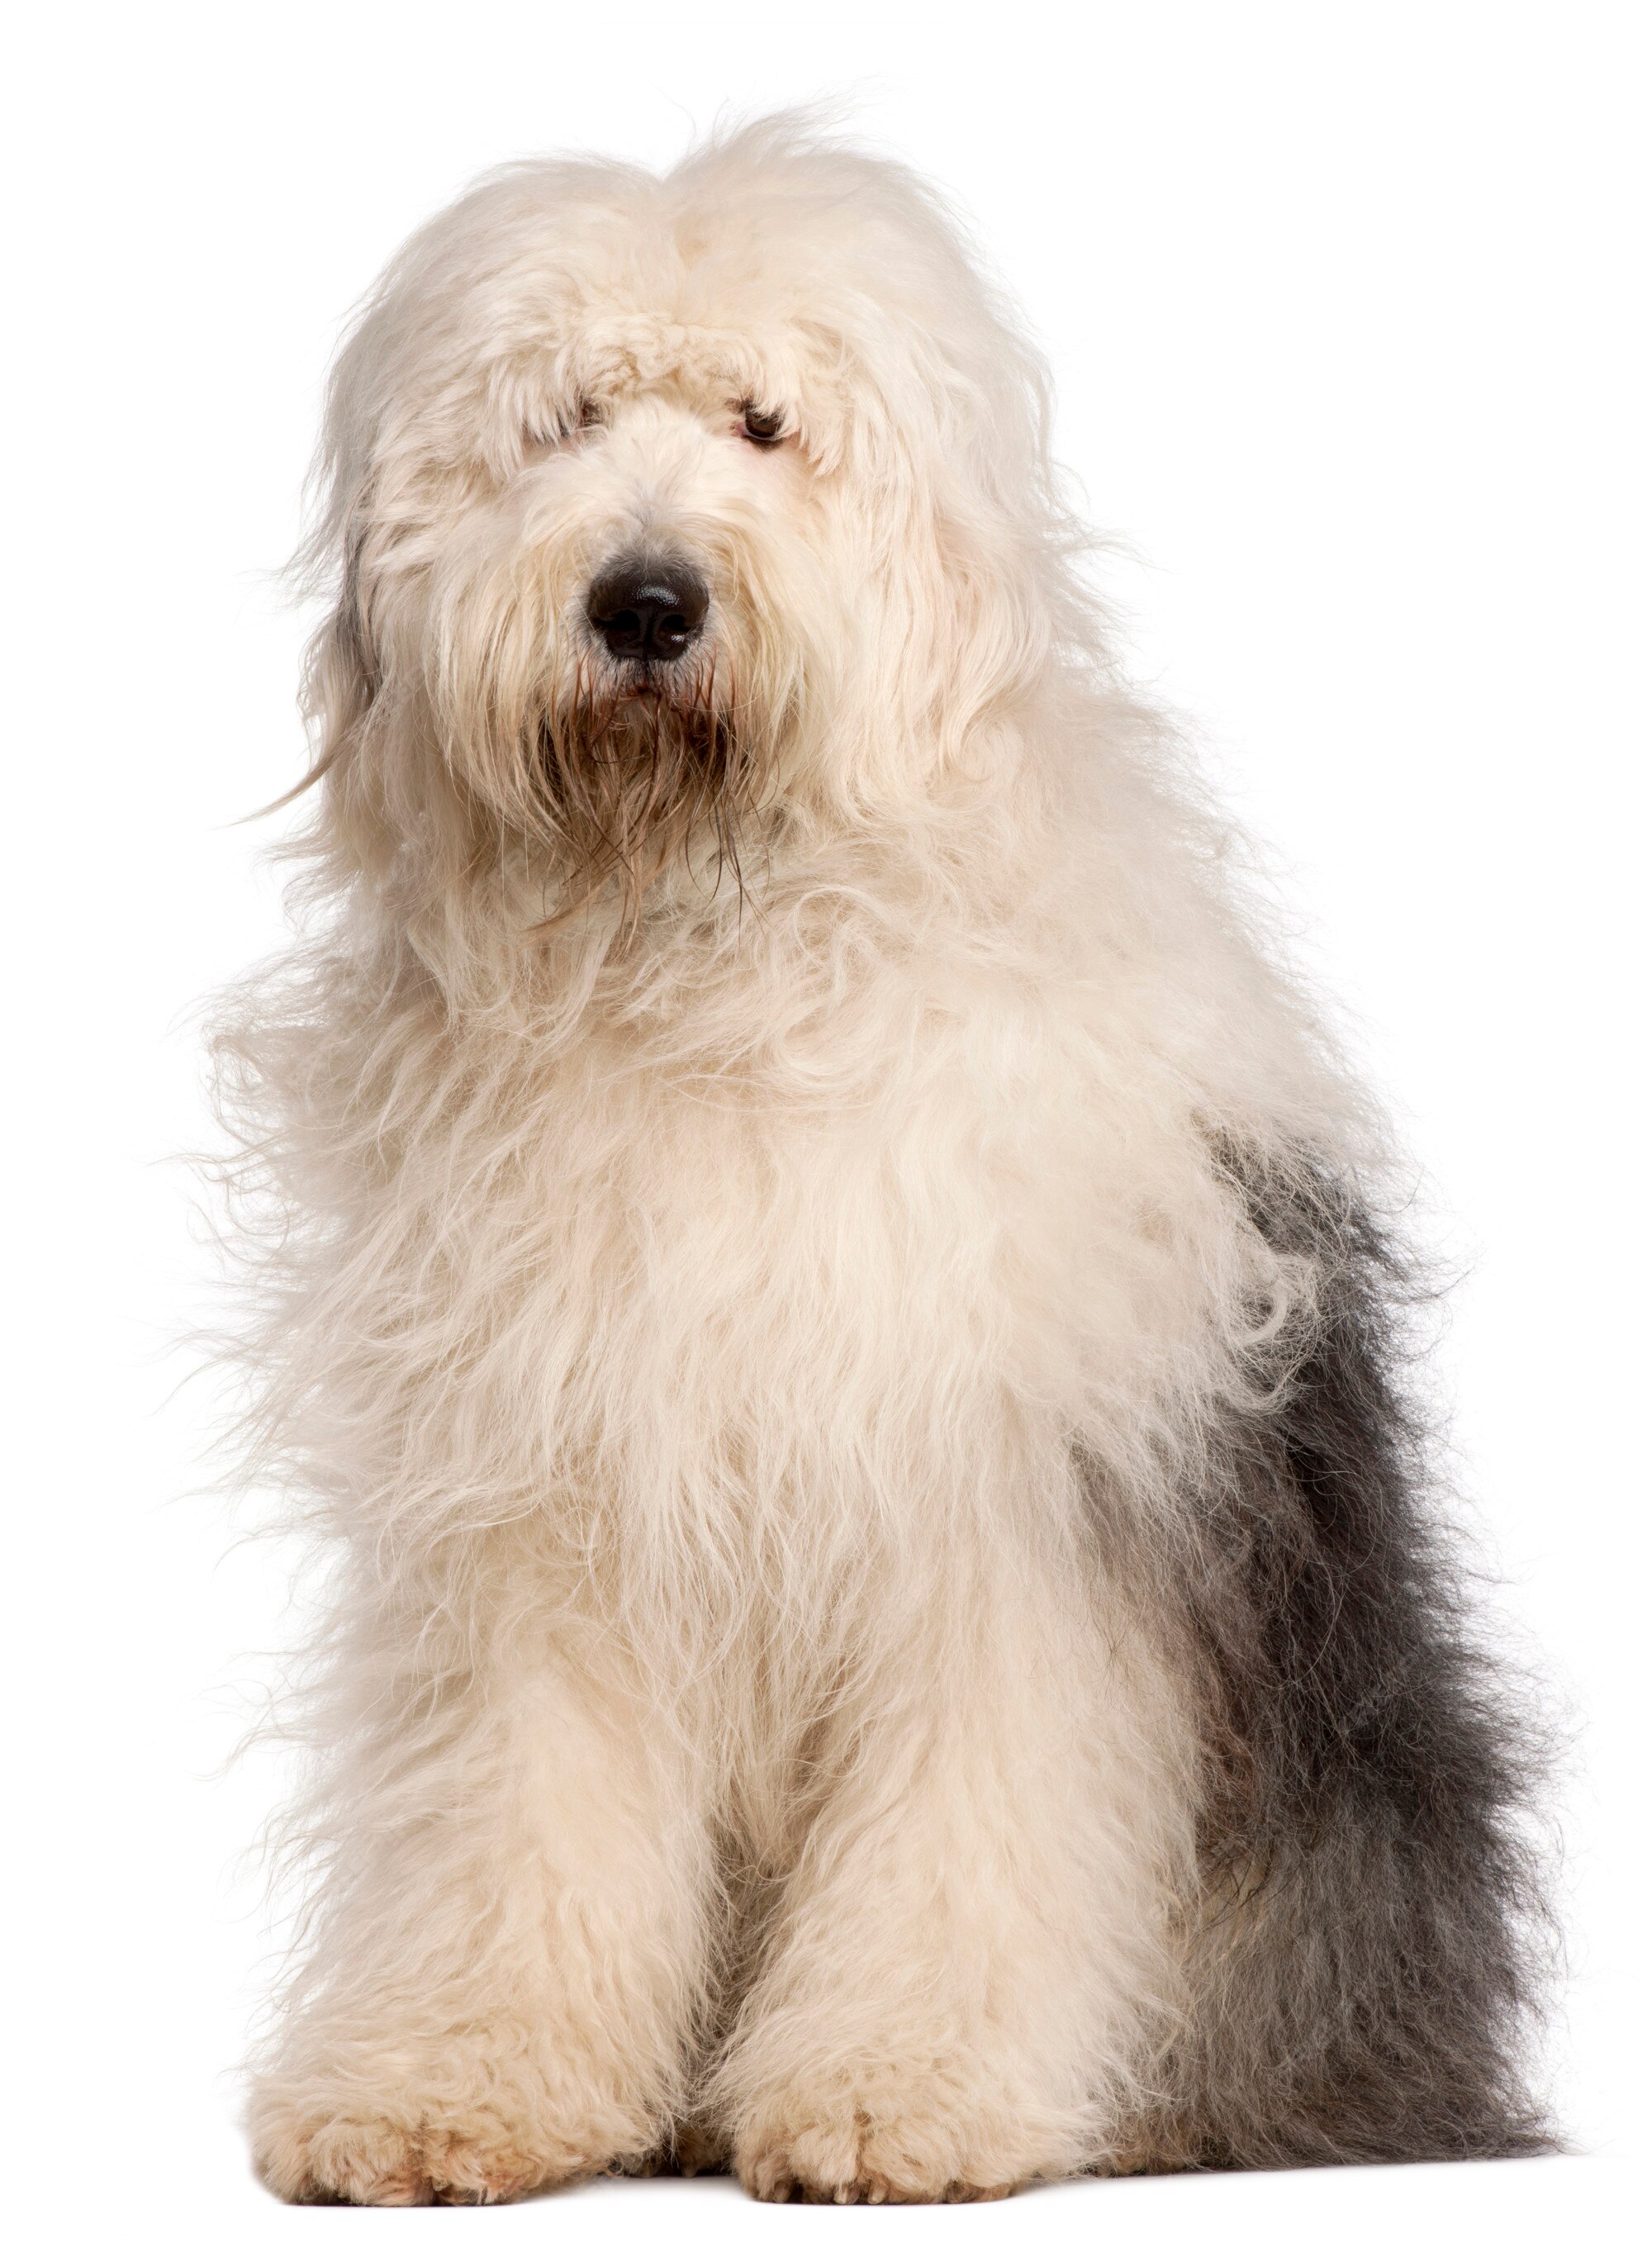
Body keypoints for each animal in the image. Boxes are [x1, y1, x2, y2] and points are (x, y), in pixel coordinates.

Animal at [216, 114, 1546, 2202]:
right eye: (560, 419)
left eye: (764, 424)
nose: (646, 601)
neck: (709, 952)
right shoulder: (547, 1502)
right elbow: (520, 1812)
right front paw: (449, 2084)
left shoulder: (1006, 1504)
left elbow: (964, 1827)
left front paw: (889, 2098)